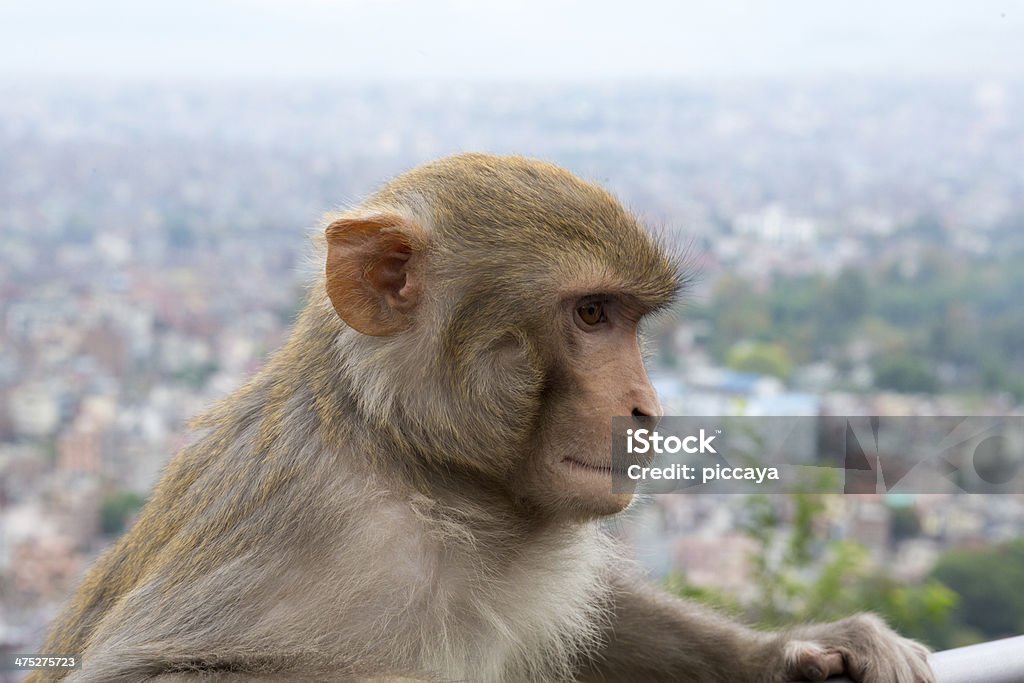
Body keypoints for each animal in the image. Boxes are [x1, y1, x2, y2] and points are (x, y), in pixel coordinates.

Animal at [32, 154, 933, 683]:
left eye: (628, 319)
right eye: (592, 314)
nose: (646, 409)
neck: (423, 472)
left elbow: (600, 625)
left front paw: (806, 649)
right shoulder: (309, 527)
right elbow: (150, 670)